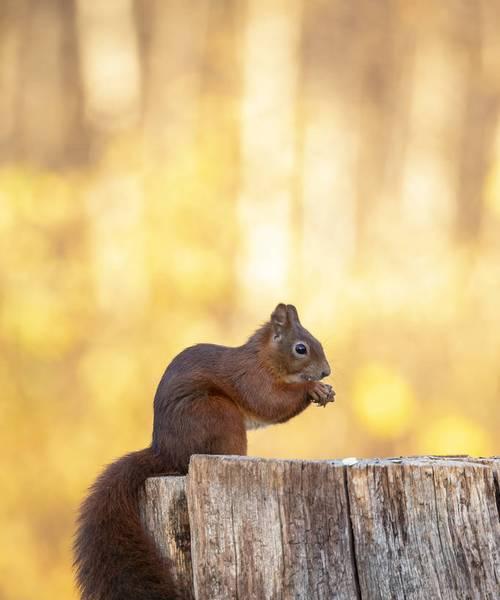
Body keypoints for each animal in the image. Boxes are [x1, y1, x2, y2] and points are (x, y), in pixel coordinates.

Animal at [73, 304, 332, 600]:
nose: (326, 372)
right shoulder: (251, 378)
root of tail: (164, 452)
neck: (263, 358)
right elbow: (270, 402)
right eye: (301, 348)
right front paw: (312, 389)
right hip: (220, 415)